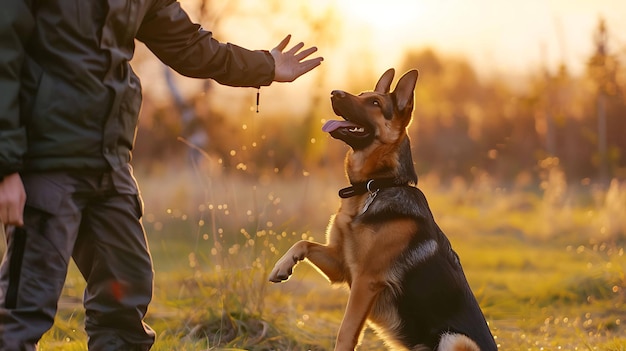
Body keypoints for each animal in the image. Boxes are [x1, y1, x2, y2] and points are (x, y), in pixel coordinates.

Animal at [268, 69, 498, 351]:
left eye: (375, 103)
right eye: (362, 94)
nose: (334, 93)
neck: (374, 186)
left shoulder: (365, 281)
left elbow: (345, 332)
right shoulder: (340, 266)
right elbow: (303, 242)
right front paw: (282, 266)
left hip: (455, 338)